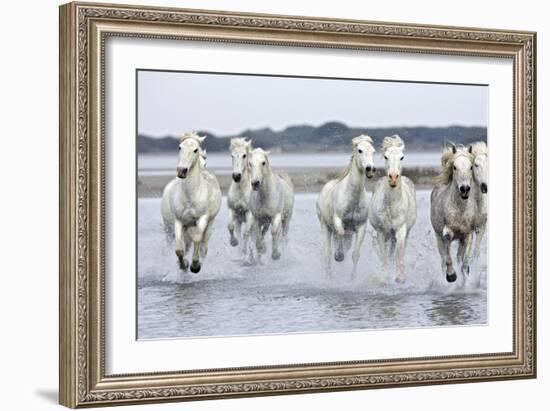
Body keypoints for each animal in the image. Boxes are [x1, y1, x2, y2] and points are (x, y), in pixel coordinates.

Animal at [162, 133, 222, 274]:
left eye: (195, 150)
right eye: (179, 147)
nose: (181, 171)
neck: (191, 195)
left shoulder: (202, 219)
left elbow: (197, 240)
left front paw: (195, 266)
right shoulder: (179, 221)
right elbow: (179, 249)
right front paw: (183, 265)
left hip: (209, 224)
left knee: (203, 246)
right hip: (175, 228)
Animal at [316, 135, 378, 280]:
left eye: (373, 151)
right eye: (360, 150)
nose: (370, 169)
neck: (353, 198)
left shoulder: (361, 226)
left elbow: (355, 254)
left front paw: (352, 278)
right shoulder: (338, 220)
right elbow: (340, 233)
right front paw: (339, 256)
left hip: (349, 235)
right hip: (325, 226)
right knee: (327, 254)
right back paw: (328, 276)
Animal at [370, 135, 418, 284]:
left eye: (402, 157)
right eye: (386, 156)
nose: (393, 178)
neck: (392, 206)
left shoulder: (401, 230)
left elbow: (399, 252)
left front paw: (400, 277)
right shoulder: (381, 232)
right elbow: (383, 256)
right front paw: (382, 277)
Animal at [432, 144, 478, 284]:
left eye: (471, 166)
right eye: (454, 167)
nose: (464, 189)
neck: (459, 210)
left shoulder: (467, 235)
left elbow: (464, 261)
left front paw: (464, 279)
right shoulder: (446, 233)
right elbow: (447, 258)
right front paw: (451, 276)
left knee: (459, 256)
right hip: (438, 236)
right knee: (443, 257)